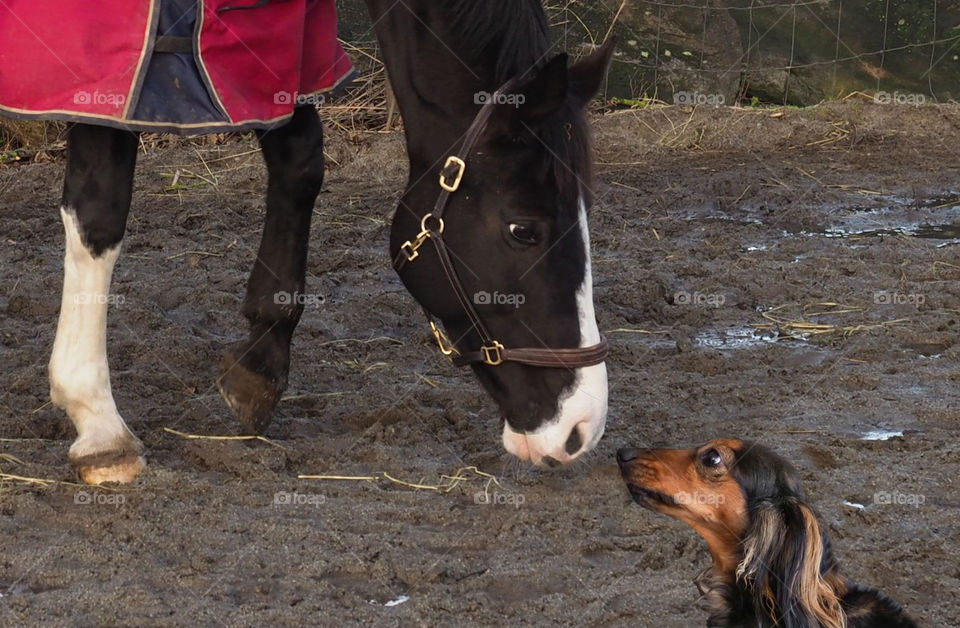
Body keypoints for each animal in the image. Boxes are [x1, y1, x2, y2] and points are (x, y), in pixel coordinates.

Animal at [0, 0, 614, 484]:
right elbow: (100, 211)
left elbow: (299, 161)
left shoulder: (283, 41)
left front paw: (262, 360)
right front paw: (99, 423)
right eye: (523, 230)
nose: (580, 427)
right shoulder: (112, 73)